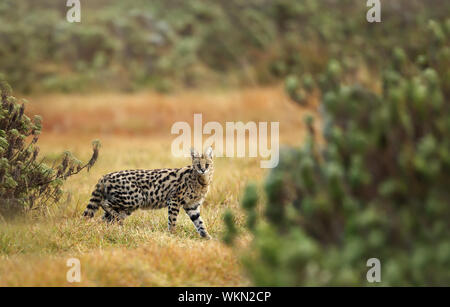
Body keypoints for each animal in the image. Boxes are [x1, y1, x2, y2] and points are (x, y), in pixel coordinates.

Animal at [84, 148, 214, 239]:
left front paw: (207, 237)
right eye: (198, 164)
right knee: (104, 203)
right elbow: (172, 220)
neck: (202, 180)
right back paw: (116, 219)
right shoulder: (174, 200)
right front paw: (172, 234)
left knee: (103, 218)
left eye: (207, 164)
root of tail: (105, 176)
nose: (203, 169)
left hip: (127, 205)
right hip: (134, 198)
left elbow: (200, 223)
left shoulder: (192, 206)